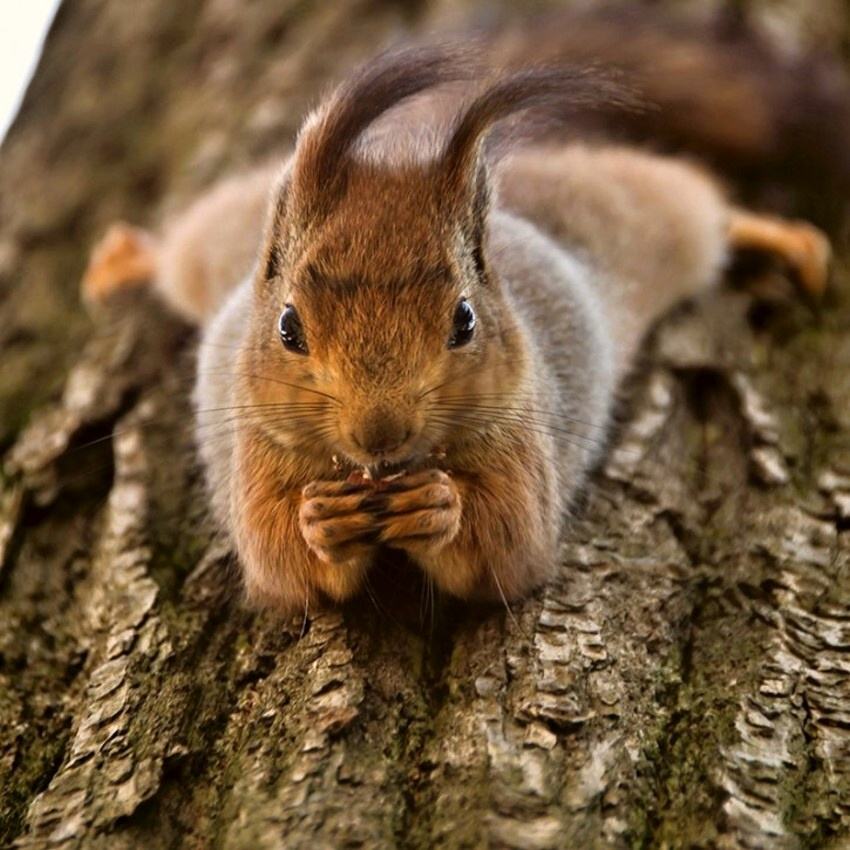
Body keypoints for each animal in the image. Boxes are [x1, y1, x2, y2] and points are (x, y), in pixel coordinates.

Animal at [79, 9, 836, 612]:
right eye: (288, 326)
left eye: (464, 321)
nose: (379, 434)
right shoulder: (255, 454)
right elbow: (285, 568)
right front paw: (318, 522)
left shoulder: (523, 439)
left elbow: (508, 549)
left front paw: (439, 507)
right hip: (218, 236)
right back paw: (127, 257)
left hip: (639, 209)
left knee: (699, 202)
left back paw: (779, 237)